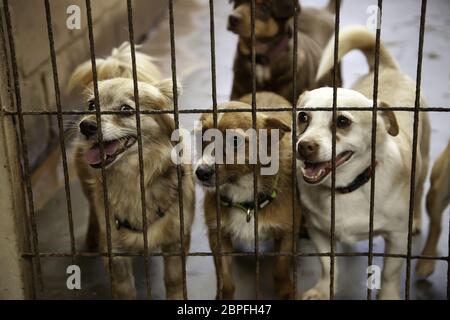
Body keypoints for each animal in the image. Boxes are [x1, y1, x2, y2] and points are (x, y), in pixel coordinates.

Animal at [195, 91, 300, 298]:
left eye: (235, 141)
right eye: (202, 135)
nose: (201, 172)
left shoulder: (289, 232)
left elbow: (280, 267)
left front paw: (286, 291)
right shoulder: (218, 236)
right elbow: (225, 279)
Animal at [298, 26, 430, 298]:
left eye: (343, 121)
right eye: (302, 117)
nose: (304, 146)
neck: (347, 188)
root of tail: (387, 69)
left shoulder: (396, 237)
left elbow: (389, 273)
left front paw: (388, 295)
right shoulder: (318, 232)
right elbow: (327, 265)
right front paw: (323, 289)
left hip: (423, 158)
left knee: (420, 188)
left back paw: (416, 219)